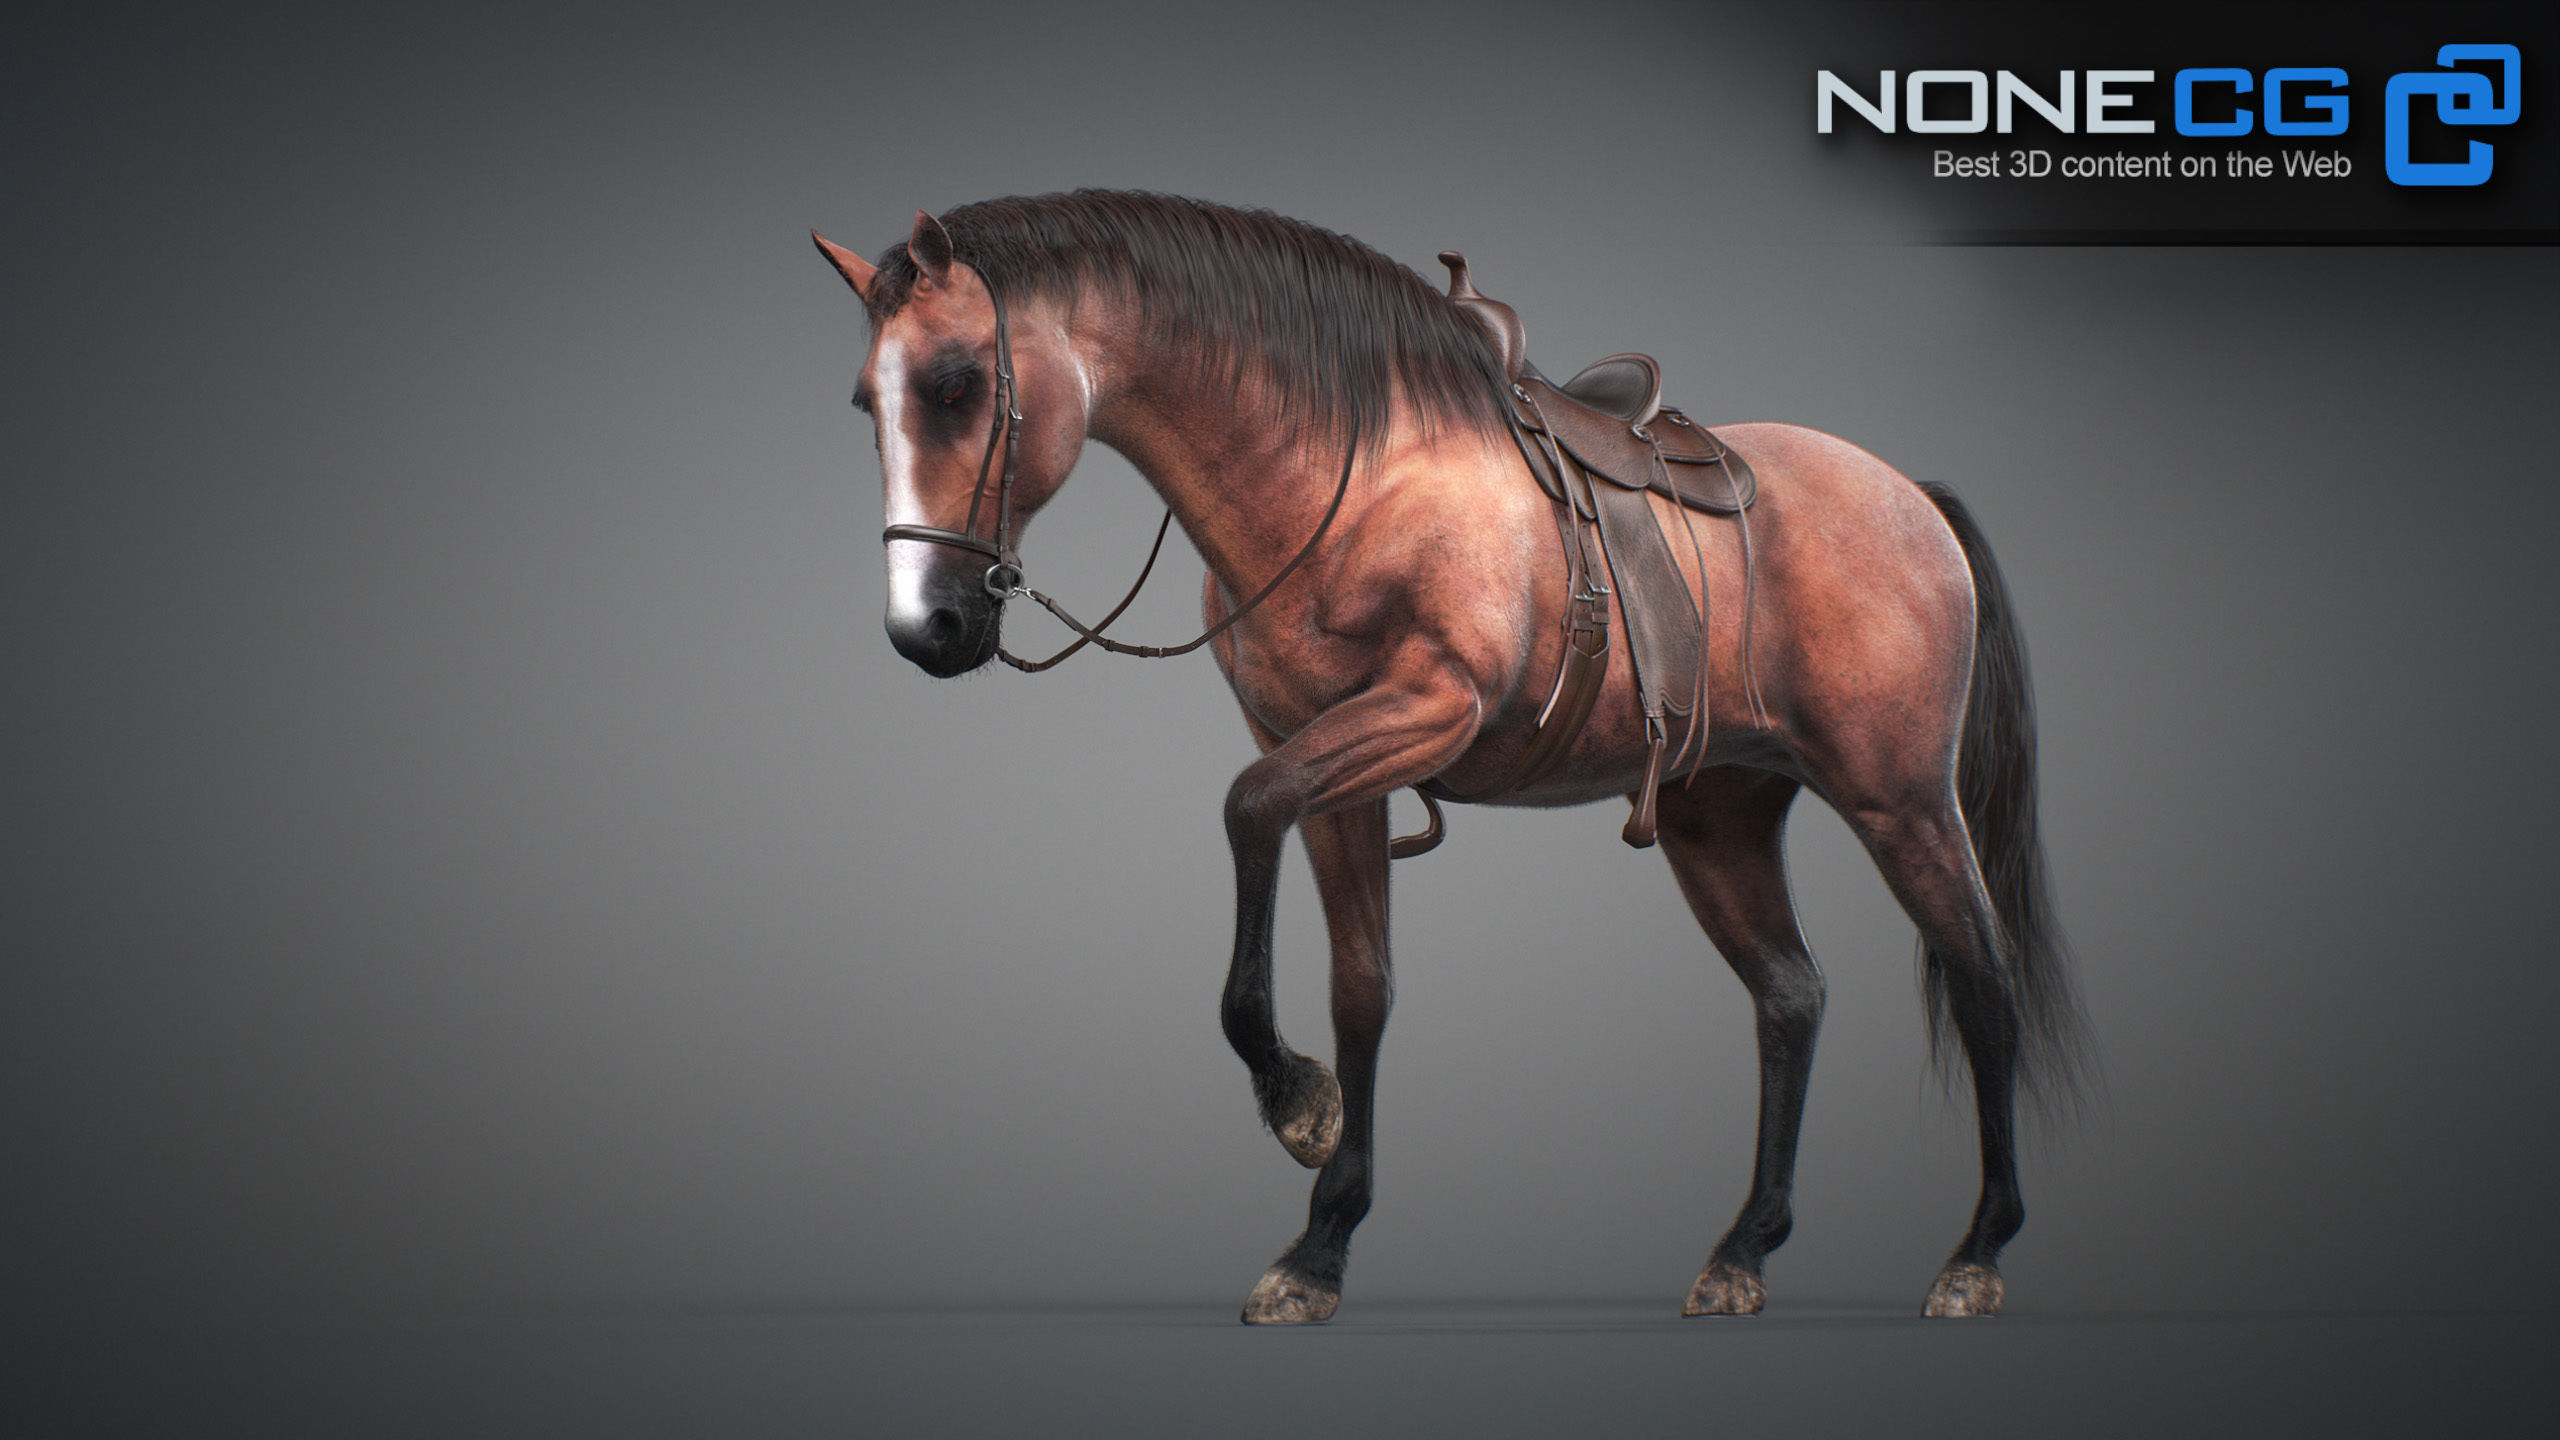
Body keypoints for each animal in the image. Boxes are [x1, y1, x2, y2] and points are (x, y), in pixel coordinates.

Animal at [812, 190, 2086, 1324]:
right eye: (866, 403)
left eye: (955, 384)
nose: (926, 628)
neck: (1351, 473)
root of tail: (1909, 498)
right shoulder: (1331, 766)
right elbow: (1362, 986)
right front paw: (1321, 1243)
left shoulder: (1425, 709)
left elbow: (1244, 812)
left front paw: (1296, 1106)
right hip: (1716, 815)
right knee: (1791, 996)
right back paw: (1742, 1251)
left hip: (1898, 801)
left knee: (1978, 977)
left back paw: (1974, 1254)